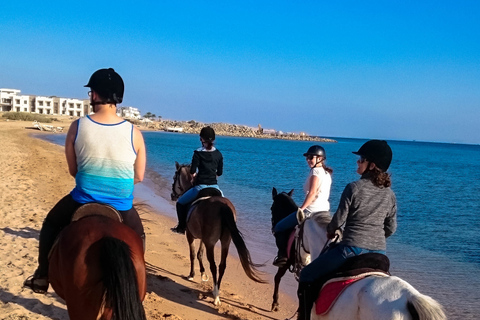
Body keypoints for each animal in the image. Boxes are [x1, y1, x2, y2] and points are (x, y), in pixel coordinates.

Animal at [172, 161, 266, 306]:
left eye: (174, 178)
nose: (172, 195)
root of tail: (222, 206)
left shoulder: (191, 235)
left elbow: (193, 254)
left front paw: (192, 275)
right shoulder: (203, 238)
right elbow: (199, 254)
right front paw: (203, 274)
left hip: (211, 243)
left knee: (214, 265)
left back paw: (215, 295)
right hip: (225, 241)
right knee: (222, 266)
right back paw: (216, 292)